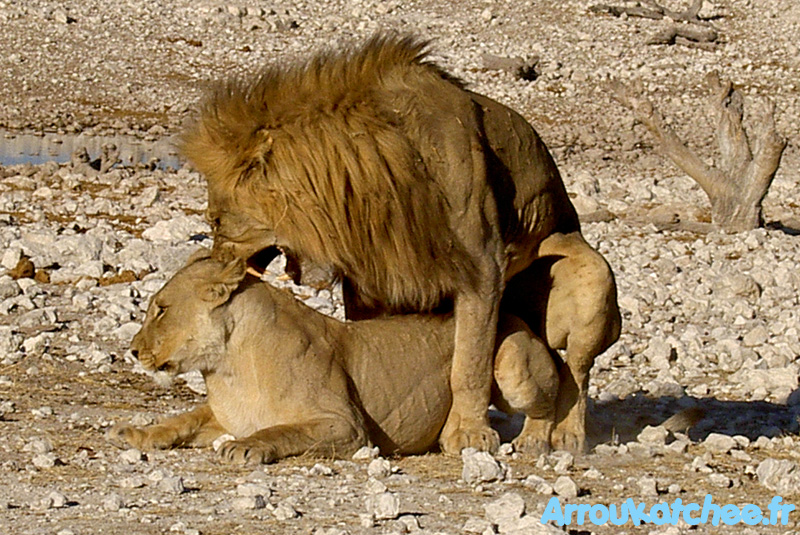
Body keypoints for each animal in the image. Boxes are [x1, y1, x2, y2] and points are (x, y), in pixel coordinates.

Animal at [111, 253, 564, 462]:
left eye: (161, 309)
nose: (132, 350)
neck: (226, 368)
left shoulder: (346, 426)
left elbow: (283, 431)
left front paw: (246, 447)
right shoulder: (223, 416)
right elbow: (182, 420)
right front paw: (137, 434)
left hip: (512, 364)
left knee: (555, 389)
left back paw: (535, 440)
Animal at [181, 34, 620, 452]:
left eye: (216, 220)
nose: (214, 261)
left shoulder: (483, 268)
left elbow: (471, 364)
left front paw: (468, 434)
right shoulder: (372, 281)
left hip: (592, 278)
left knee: (576, 370)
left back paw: (561, 437)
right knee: (553, 367)